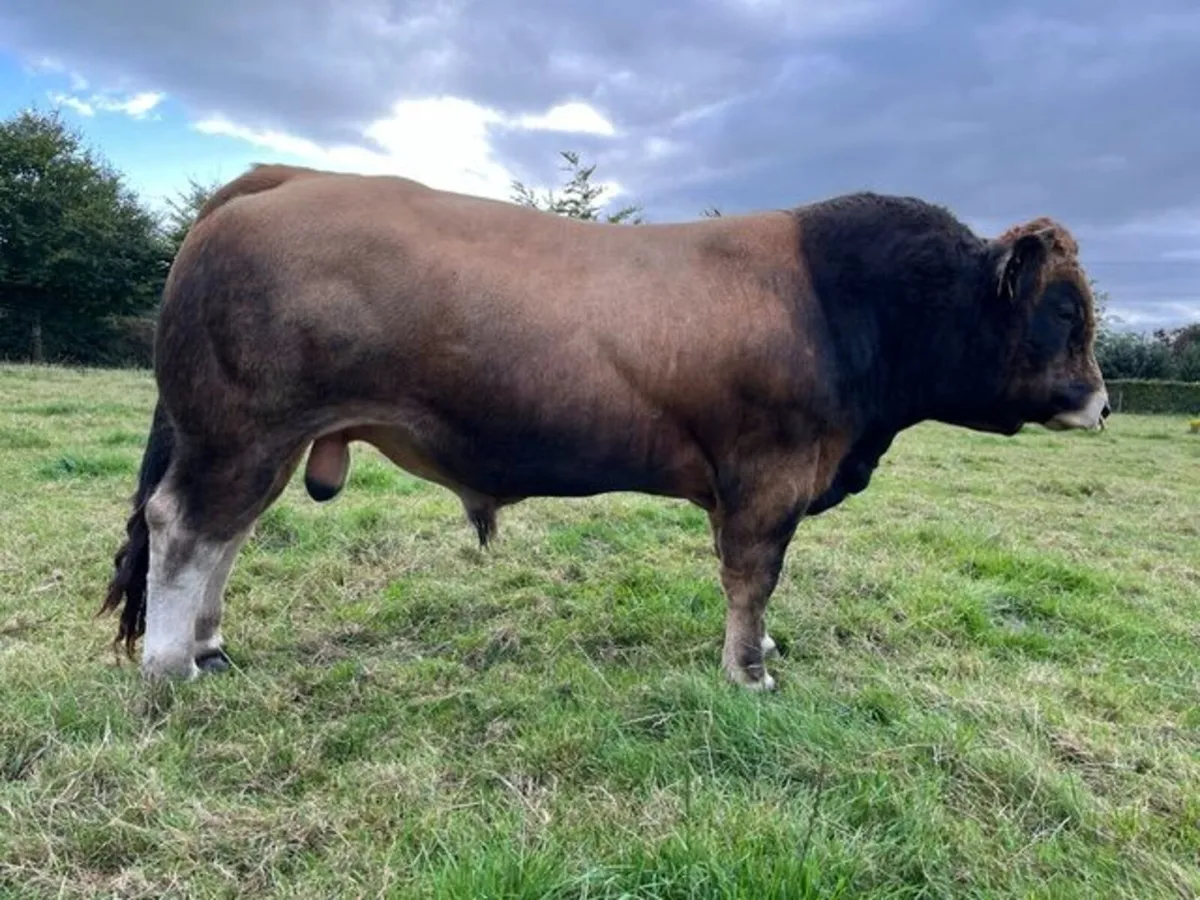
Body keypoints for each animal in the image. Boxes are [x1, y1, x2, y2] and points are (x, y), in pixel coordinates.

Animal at [99, 164, 1109, 691]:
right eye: (1064, 312)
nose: (1103, 401)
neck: (848, 303)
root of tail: (282, 178)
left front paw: (763, 652)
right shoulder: (769, 476)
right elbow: (753, 580)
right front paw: (750, 671)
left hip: (253, 441)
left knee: (222, 537)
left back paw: (209, 645)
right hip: (242, 430)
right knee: (184, 528)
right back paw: (172, 668)